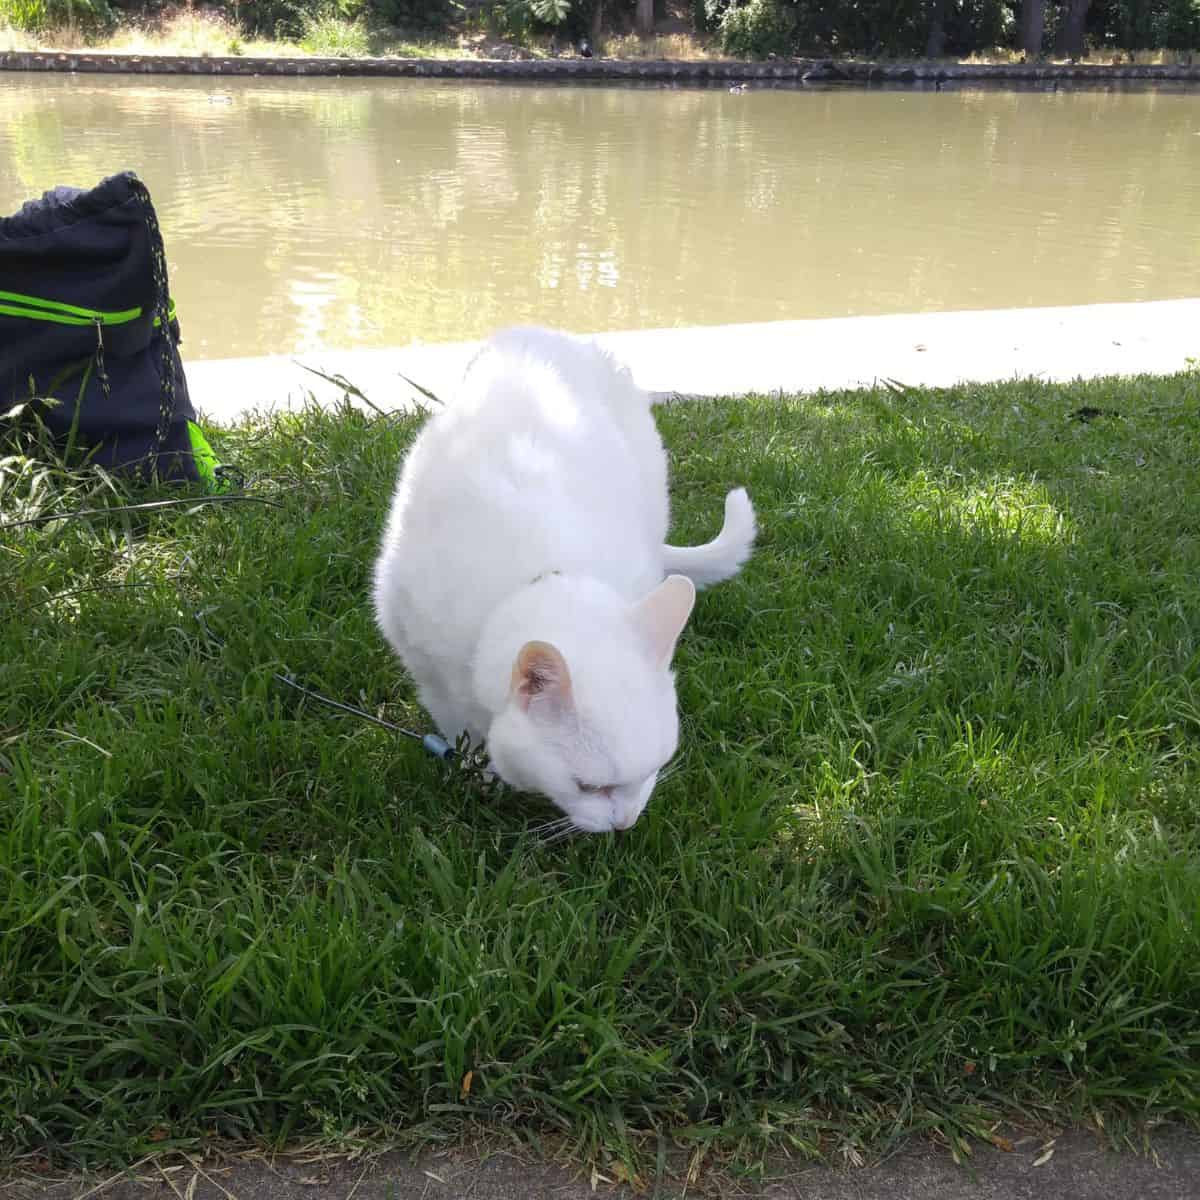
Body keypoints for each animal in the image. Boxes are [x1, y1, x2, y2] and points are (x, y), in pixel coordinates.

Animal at [369, 328, 753, 835]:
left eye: (655, 768)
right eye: (588, 787)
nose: (626, 823)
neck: (542, 574)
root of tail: (542, 332)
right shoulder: (426, 662)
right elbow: (459, 723)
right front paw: (478, 772)